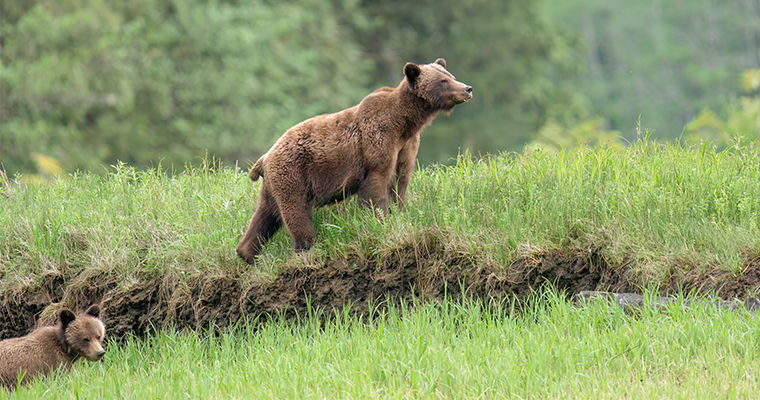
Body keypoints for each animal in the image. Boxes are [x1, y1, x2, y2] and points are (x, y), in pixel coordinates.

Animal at [239, 56, 476, 262]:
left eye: (450, 74)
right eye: (443, 81)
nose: (467, 89)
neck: (404, 123)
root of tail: (265, 157)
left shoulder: (406, 147)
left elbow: (401, 181)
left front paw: (399, 213)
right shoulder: (378, 142)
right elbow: (377, 185)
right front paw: (379, 219)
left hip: (274, 183)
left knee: (265, 215)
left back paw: (247, 253)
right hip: (292, 172)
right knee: (295, 210)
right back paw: (306, 247)